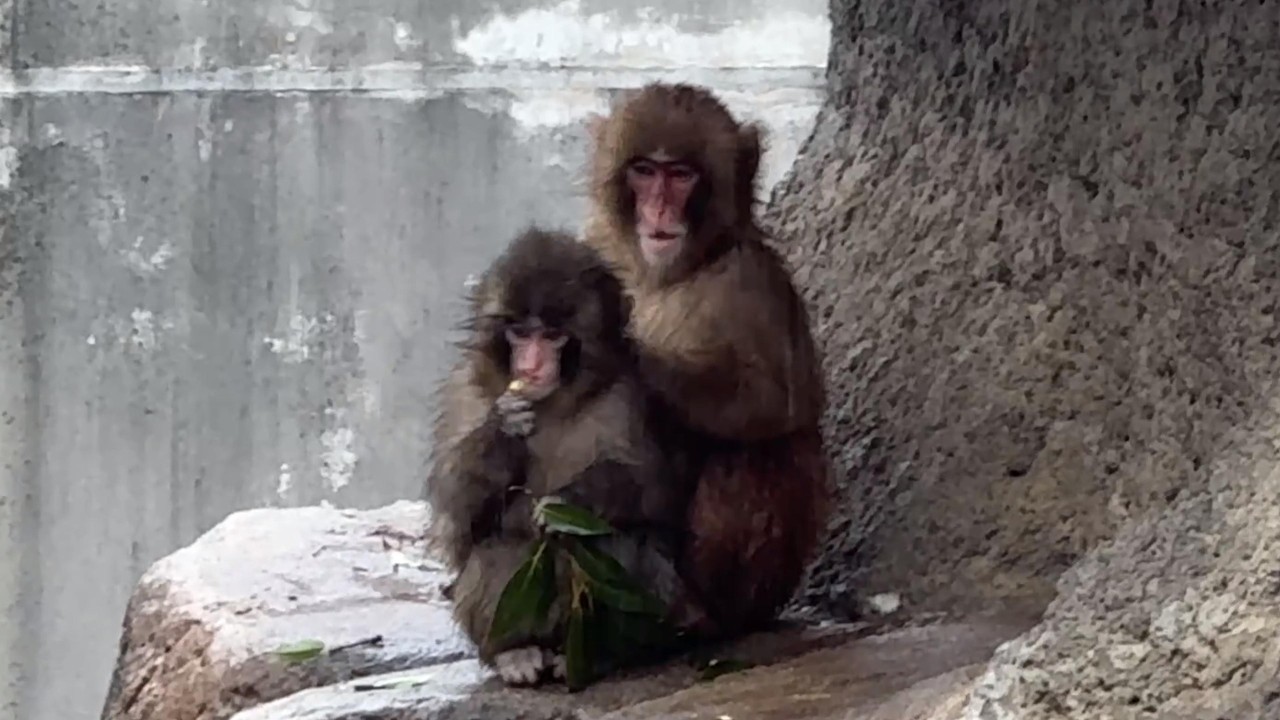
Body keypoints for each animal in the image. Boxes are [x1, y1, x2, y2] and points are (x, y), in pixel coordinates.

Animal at [423, 227, 708, 687]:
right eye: (520, 334)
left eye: (553, 335)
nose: (532, 364)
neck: (552, 403)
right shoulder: (464, 392)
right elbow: (456, 521)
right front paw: (504, 429)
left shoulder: (627, 392)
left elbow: (655, 488)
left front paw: (570, 499)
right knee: (498, 549)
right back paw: (514, 652)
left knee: (615, 545)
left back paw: (604, 653)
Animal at [581, 82, 832, 639]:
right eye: (644, 171)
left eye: (681, 175)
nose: (657, 210)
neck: (666, 274)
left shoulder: (749, 283)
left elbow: (769, 404)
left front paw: (627, 353)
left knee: (755, 453)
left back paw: (697, 616)